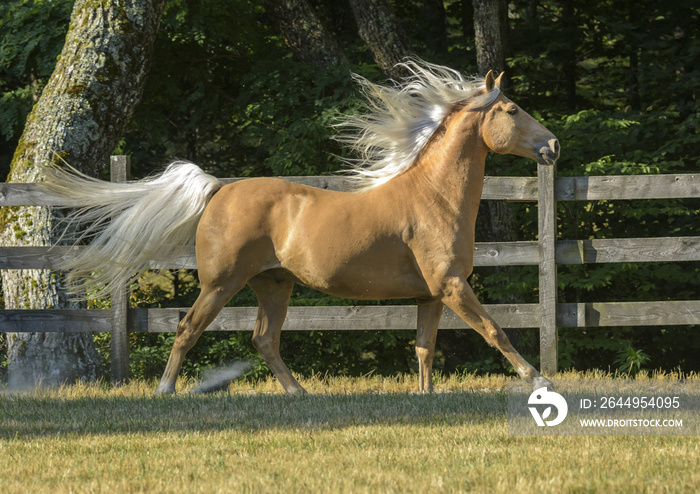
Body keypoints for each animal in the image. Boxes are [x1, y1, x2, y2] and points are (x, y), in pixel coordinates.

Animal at [43, 60, 556, 394]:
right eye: (511, 110)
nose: (552, 145)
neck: (434, 197)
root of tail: (219, 190)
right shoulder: (451, 286)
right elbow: (496, 331)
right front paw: (539, 379)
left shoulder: (430, 294)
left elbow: (424, 348)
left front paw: (424, 396)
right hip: (222, 282)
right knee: (189, 328)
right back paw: (165, 392)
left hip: (274, 284)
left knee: (264, 339)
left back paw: (299, 394)